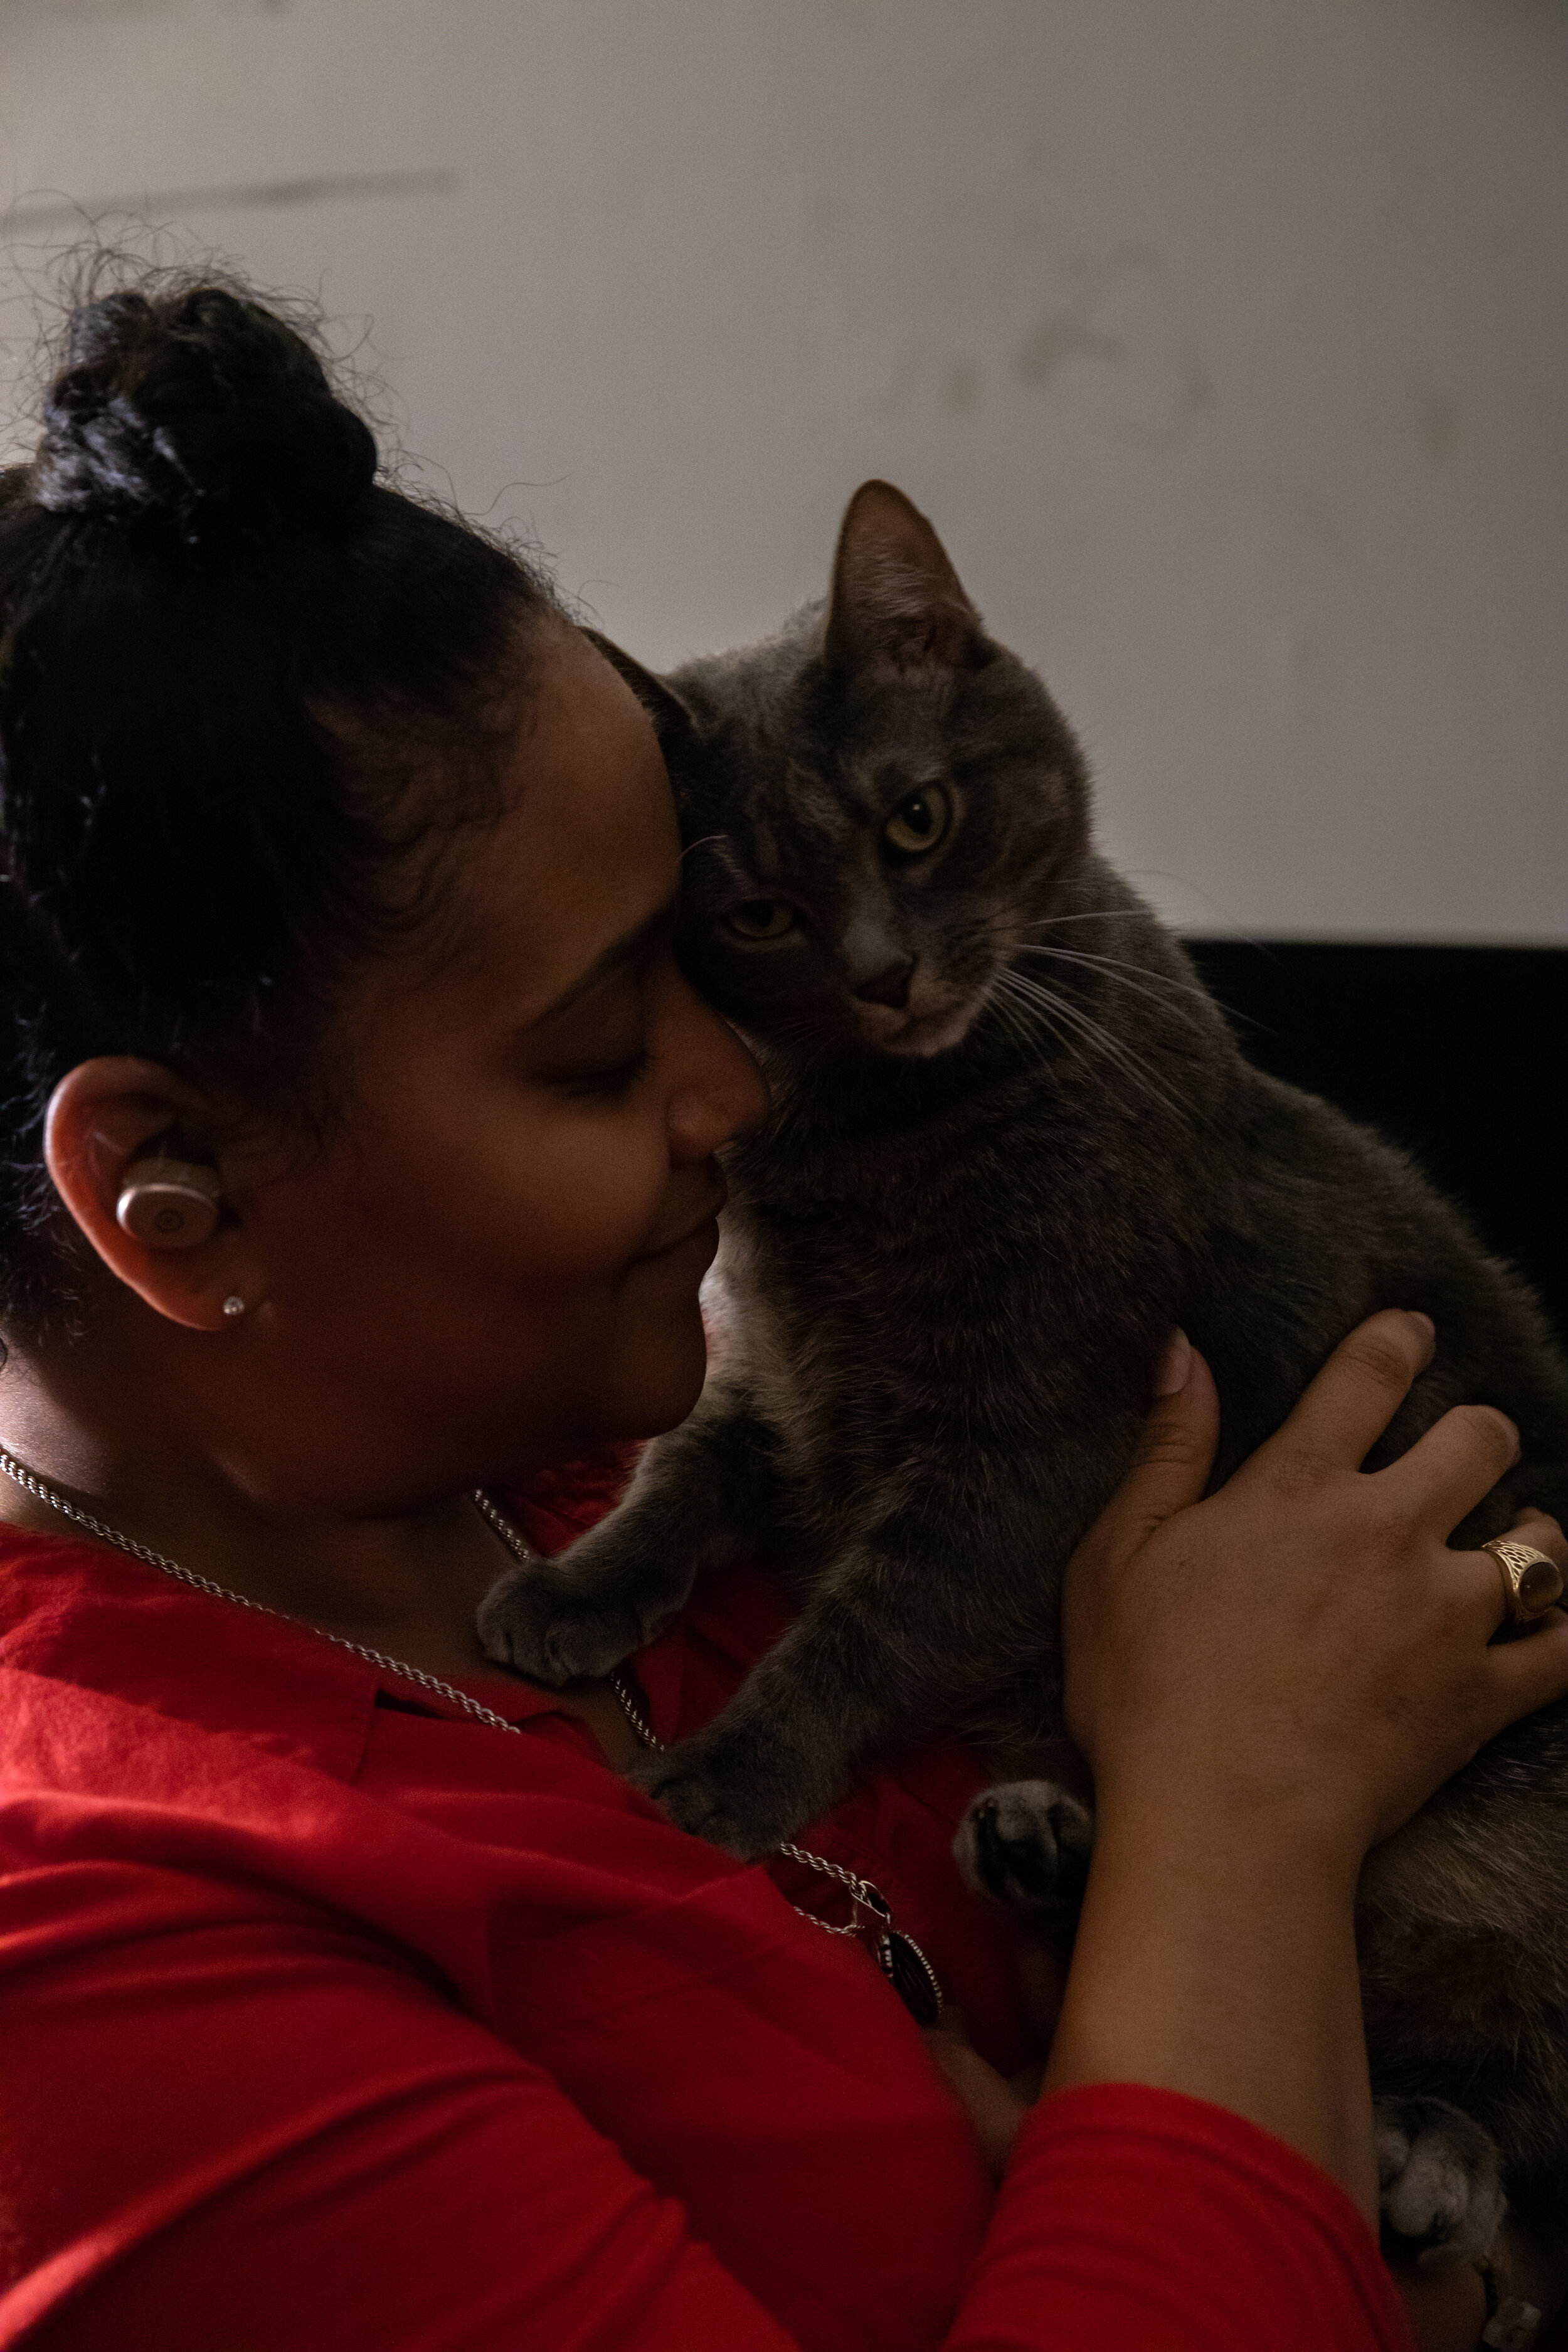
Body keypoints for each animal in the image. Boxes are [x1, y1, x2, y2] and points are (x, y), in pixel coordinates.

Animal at [479, 482, 1568, 2258]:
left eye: (915, 820)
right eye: (757, 909)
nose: (885, 971)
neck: (855, 1145)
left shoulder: (1031, 1436)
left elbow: (868, 1619)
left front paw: (715, 1774)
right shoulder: (774, 1375)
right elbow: (675, 1476)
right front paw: (572, 1588)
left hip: (1497, 1850)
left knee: (1504, 2063)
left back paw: (1429, 2151)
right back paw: (1045, 1836)